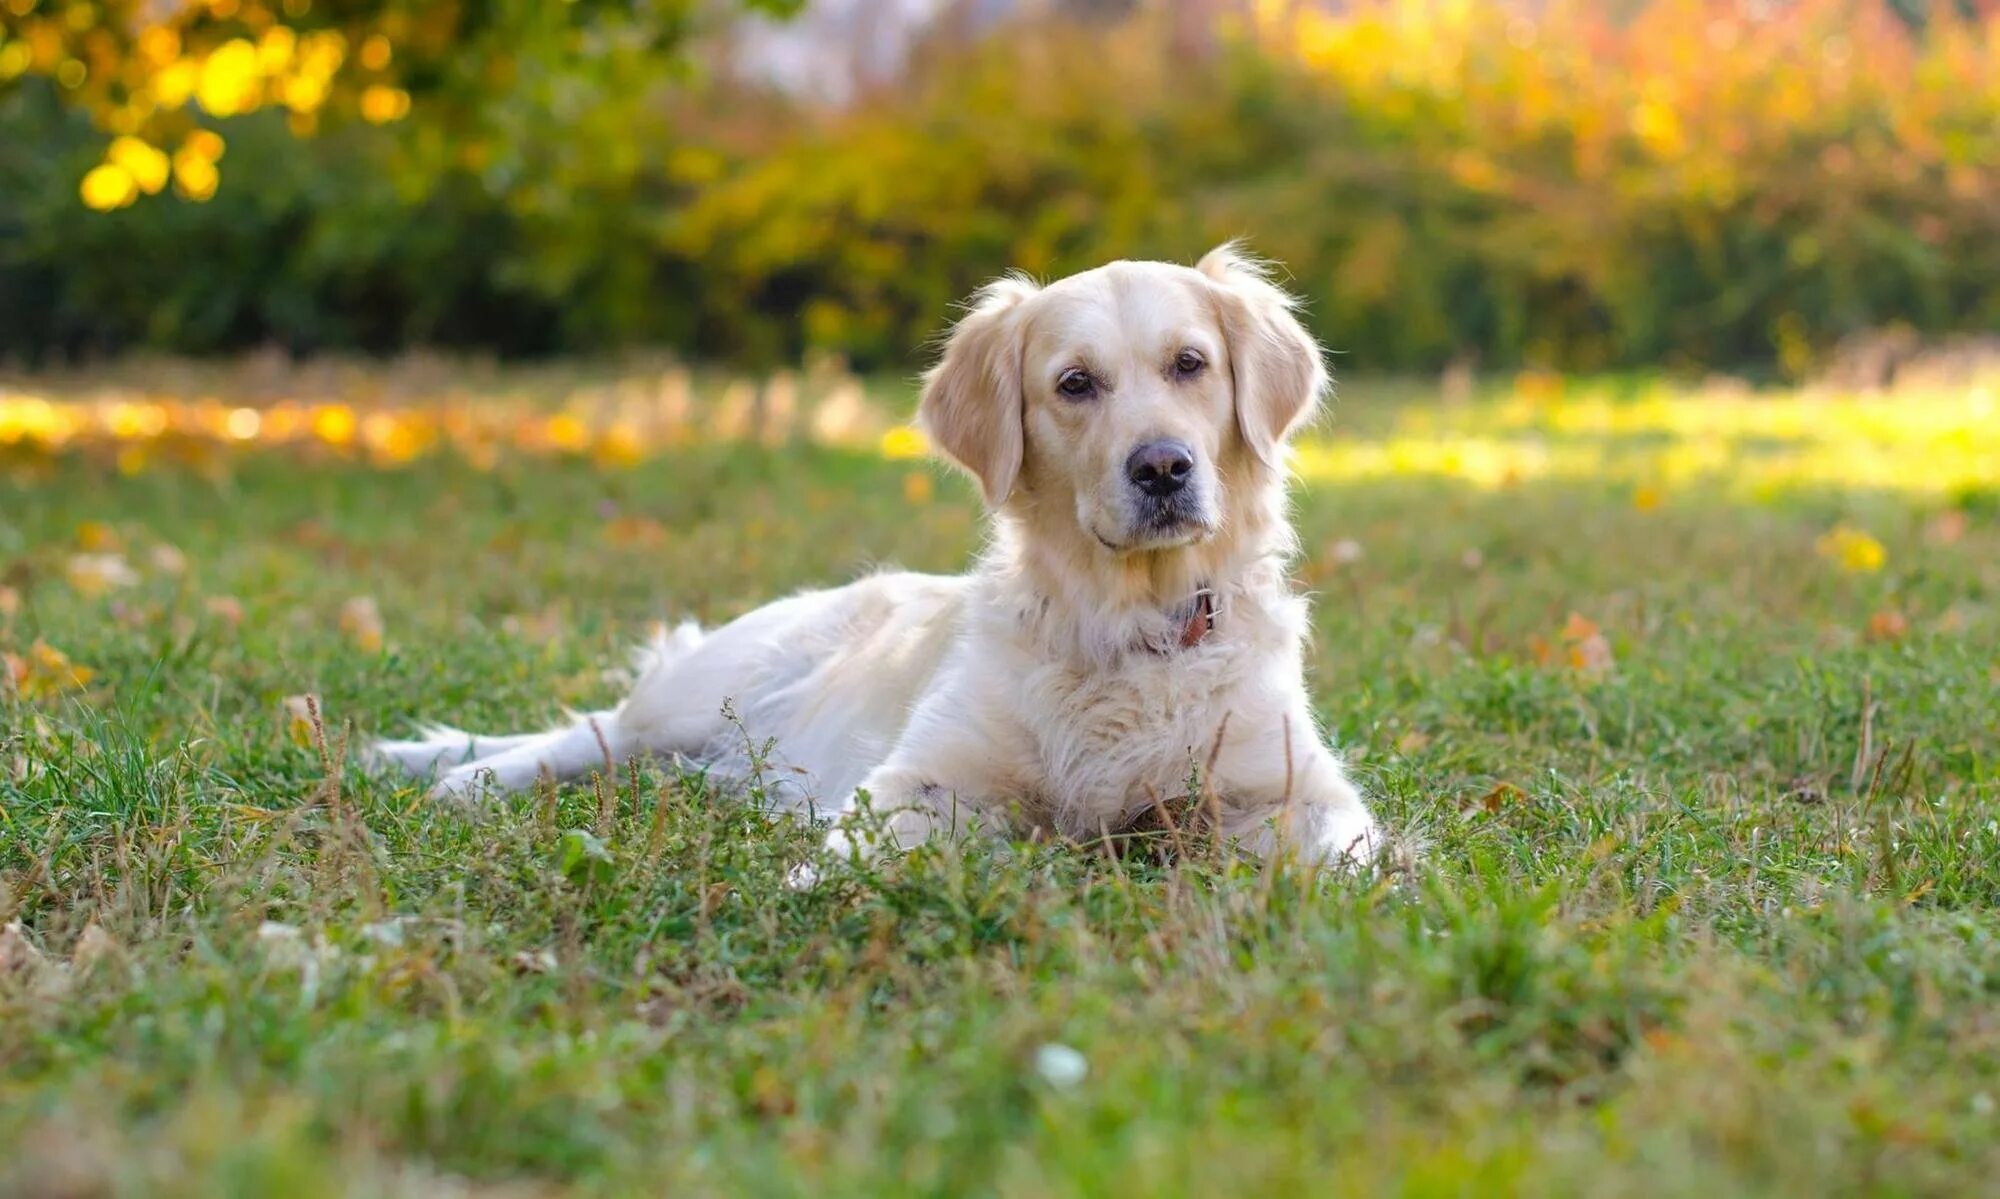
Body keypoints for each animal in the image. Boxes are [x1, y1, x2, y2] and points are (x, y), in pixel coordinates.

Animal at [368, 245, 1384, 871]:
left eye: (1190, 364)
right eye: (1075, 384)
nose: (1164, 467)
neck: (1132, 620)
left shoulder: (1289, 783)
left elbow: (1349, 852)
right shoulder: (919, 776)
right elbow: (860, 849)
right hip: (704, 690)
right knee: (584, 732)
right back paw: (452, 773)